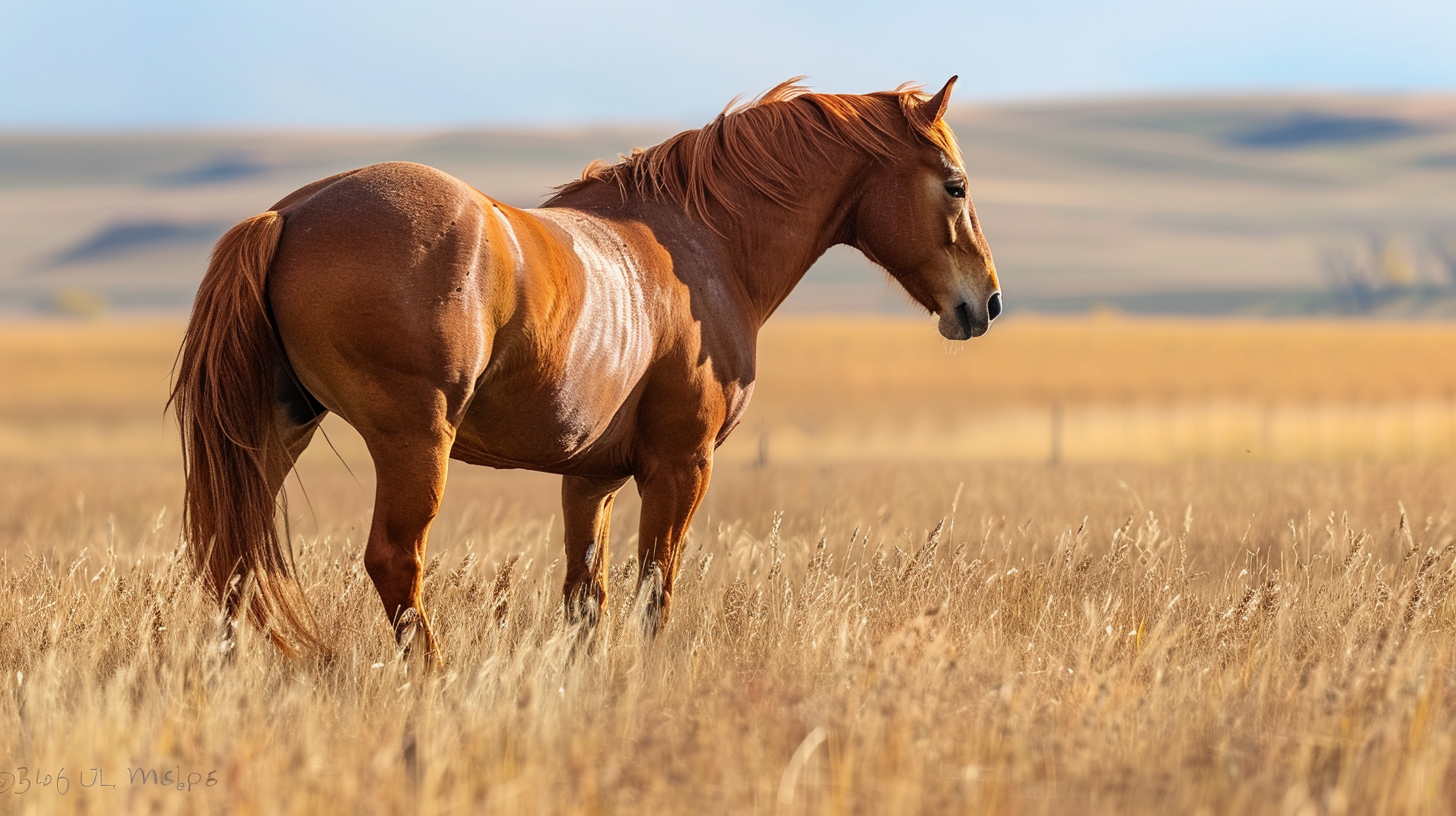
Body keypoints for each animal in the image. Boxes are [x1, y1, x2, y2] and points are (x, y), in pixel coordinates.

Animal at [169, 77, 1000, 659]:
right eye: (955, 184)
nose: (986, 303)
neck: (704, 244)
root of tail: (288, 214)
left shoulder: (590, 479)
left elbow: (585, 600)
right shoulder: (680, 467)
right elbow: (654, 591)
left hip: (276, 436)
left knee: (235, 556)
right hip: (414, 443)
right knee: (393, 562)